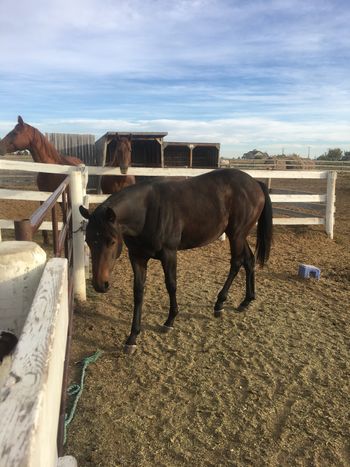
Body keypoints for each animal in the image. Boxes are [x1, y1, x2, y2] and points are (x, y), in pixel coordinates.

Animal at [80, 168, 274, 354]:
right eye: (88, 240)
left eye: (111, 241)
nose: (100, 284)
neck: (146, 211)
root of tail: (255, 183)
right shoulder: (137, 257)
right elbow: (138, 292)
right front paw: (132, 338)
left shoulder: (169, 254)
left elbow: (171, 285)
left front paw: (170, 321)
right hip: (240, 235)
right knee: (249, 261)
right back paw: (246, 301)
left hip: (236, 235)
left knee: (236, 263)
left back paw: (219, 304)